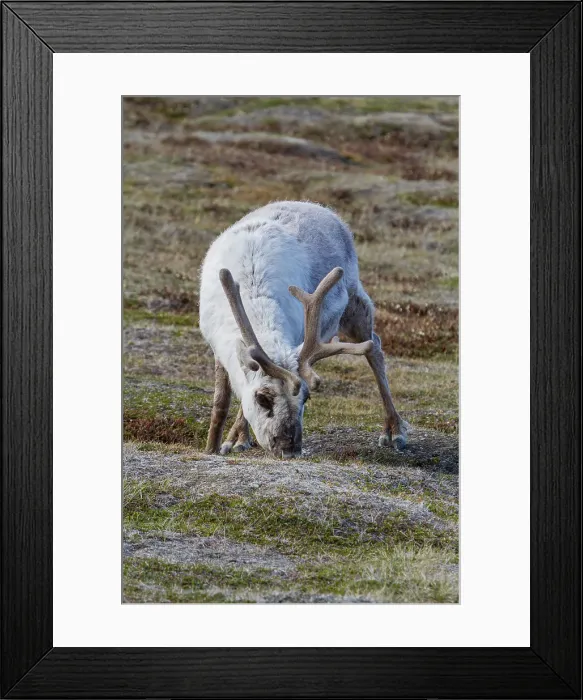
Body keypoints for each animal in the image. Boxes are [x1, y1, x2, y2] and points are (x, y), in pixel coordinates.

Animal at [199, 201, 409, 458]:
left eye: (306, 398)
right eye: (263, 399)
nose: (289, 449)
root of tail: (321, 208)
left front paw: (230, 439)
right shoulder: (218, 347)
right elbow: (221, 402)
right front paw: (217, 445)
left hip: (355, 303)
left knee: (374, 347)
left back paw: (394, 430)